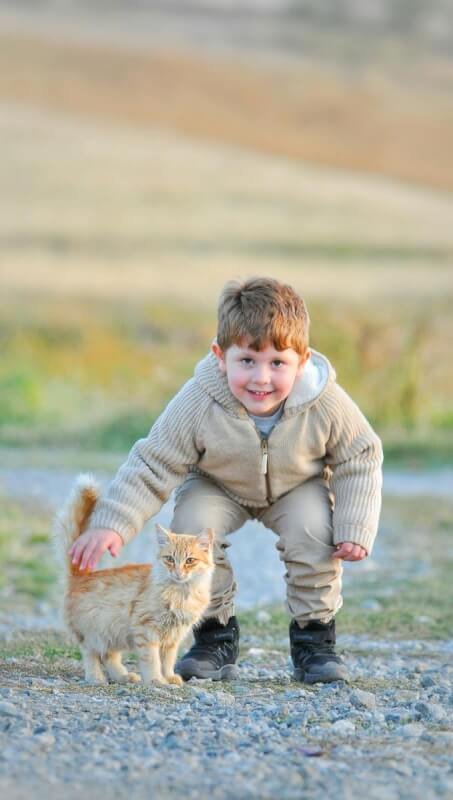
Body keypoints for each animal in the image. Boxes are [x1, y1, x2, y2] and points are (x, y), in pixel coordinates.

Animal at [53, 476, 214, 688]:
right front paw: (156, 680)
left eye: (190, 561)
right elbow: (152, 660)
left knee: (109, 656)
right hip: (94, 632)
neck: (181, 593)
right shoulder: (147, 630)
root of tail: (81, 575)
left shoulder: (174, 636)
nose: (178, 572)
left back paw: (124, 676)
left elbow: (168, 660)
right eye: (169, 559)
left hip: (112, 633)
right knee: (91, 654)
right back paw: (96, 678)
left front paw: (169, 677)